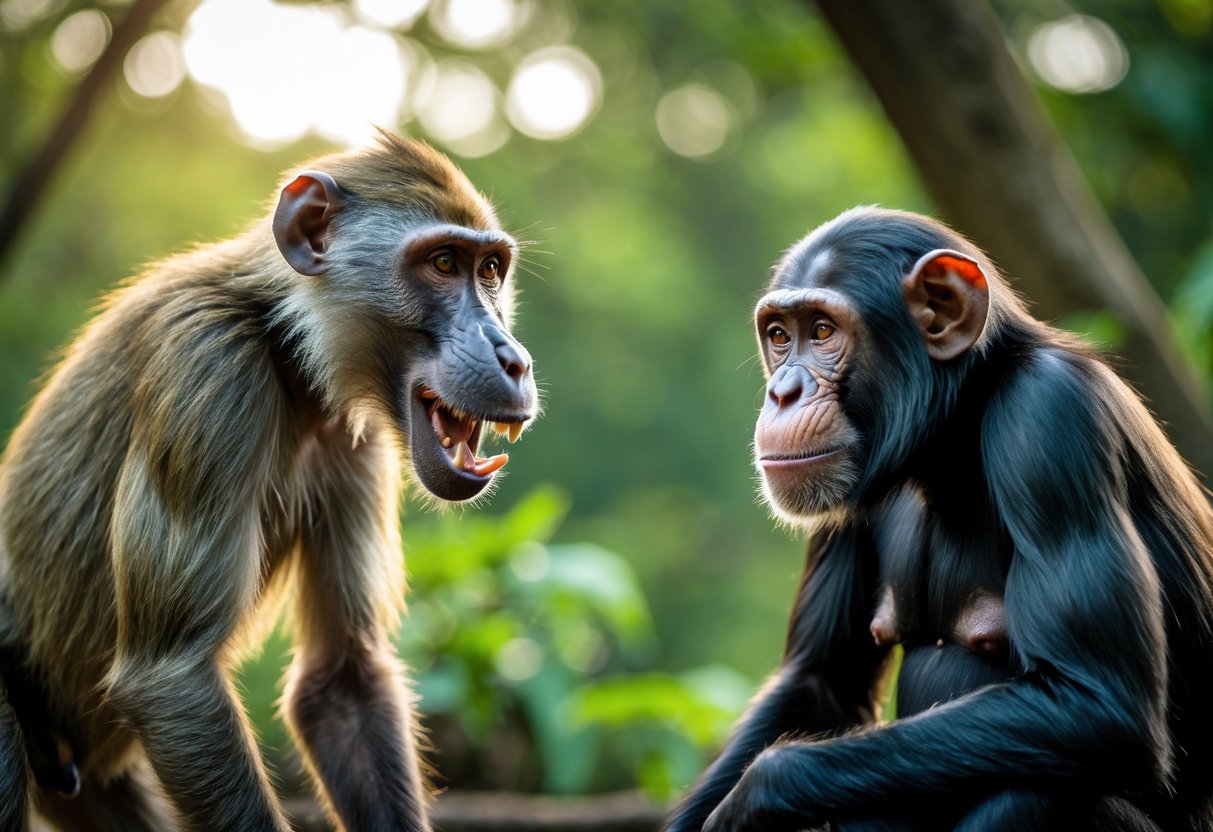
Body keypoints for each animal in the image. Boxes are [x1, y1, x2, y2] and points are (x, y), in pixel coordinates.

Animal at [0, 130, 538, 832]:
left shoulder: (356, 443)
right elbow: (174, 678)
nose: (513, 358)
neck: (286, 344)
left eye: (491, 270)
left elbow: (341, 682)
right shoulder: (209, 368)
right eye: (444, 263)